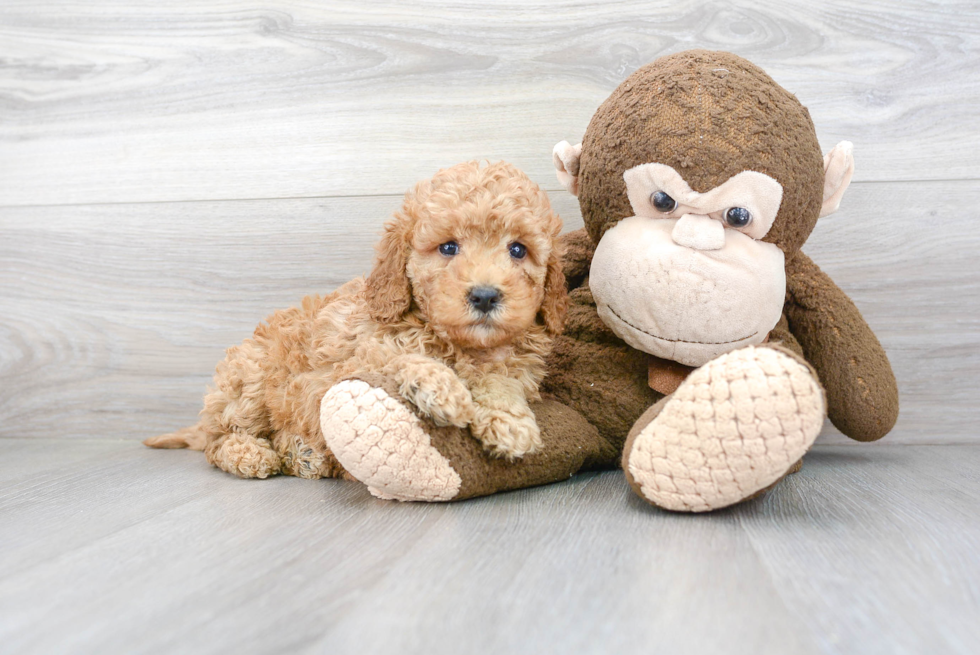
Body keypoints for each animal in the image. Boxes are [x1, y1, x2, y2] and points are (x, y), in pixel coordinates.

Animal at [149, 161, 572, 480]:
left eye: (518, 250)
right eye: (448, 247)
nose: (485, 295)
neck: (462, 345)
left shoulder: (518, 368)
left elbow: (502, 381)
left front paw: (510, 422)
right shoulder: (342, 368)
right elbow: (397, 357)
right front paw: (443, 388)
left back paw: (305, 455)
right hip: (251, 381)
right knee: (218, 440)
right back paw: (249, 454)